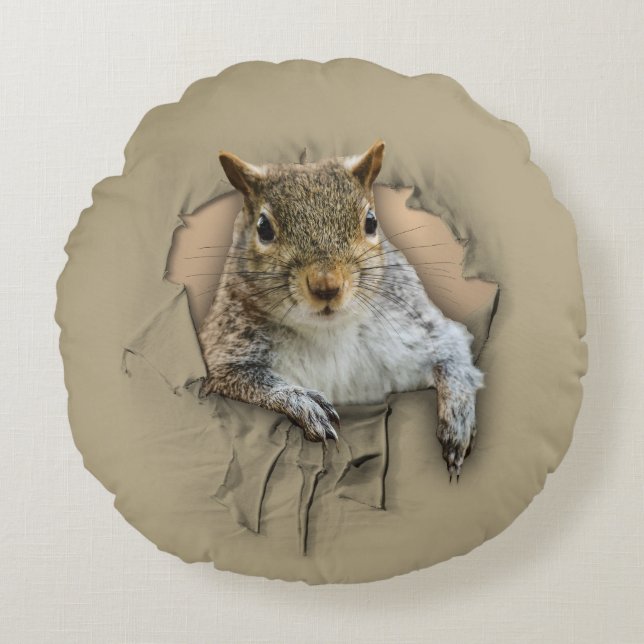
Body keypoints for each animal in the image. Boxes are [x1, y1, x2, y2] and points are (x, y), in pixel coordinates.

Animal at [197, 140, 483, 479]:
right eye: (263, 228)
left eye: (371, 221)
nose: (326, 286)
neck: (328, 331)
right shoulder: (224, 346)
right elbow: (237, 379)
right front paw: (300, 401)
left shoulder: (416, 329)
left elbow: (452, 352)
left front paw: (458, 416)